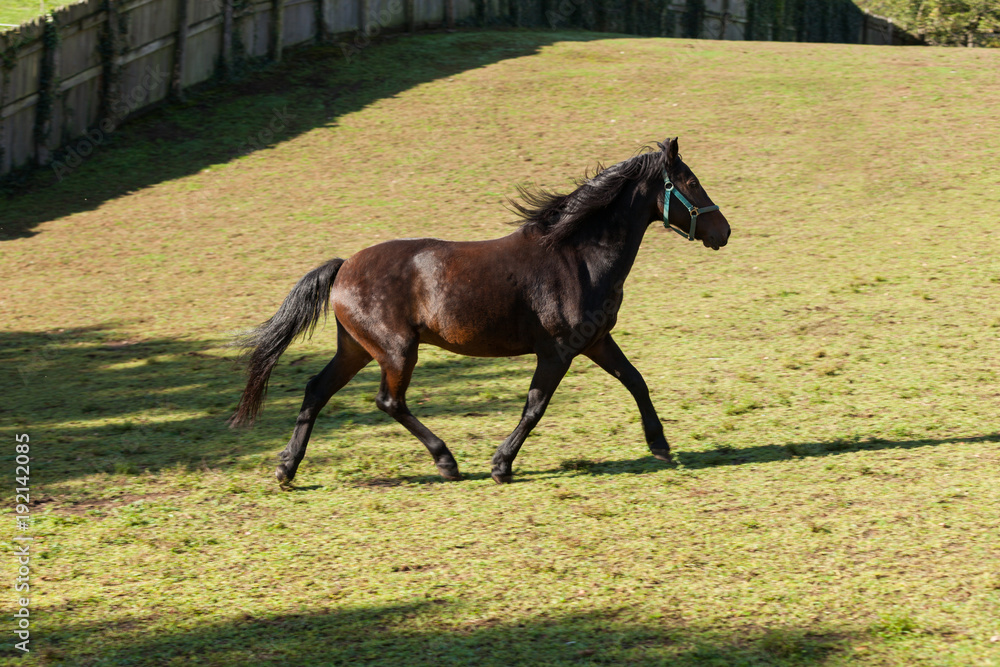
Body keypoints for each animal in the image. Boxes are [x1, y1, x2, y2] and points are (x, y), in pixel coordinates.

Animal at [229, 137, 730, 485]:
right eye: (691, 182)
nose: (723, 231)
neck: (579, 257)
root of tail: (344, 266)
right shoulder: (558, 351)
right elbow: (535, 406)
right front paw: (501, 465)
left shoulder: (596, 341)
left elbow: (636, 381)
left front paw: (660, 445)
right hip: (397, 350)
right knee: (389, 401)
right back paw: (446, 461)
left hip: (355, 348)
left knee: (317, 390)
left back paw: (286, 468)